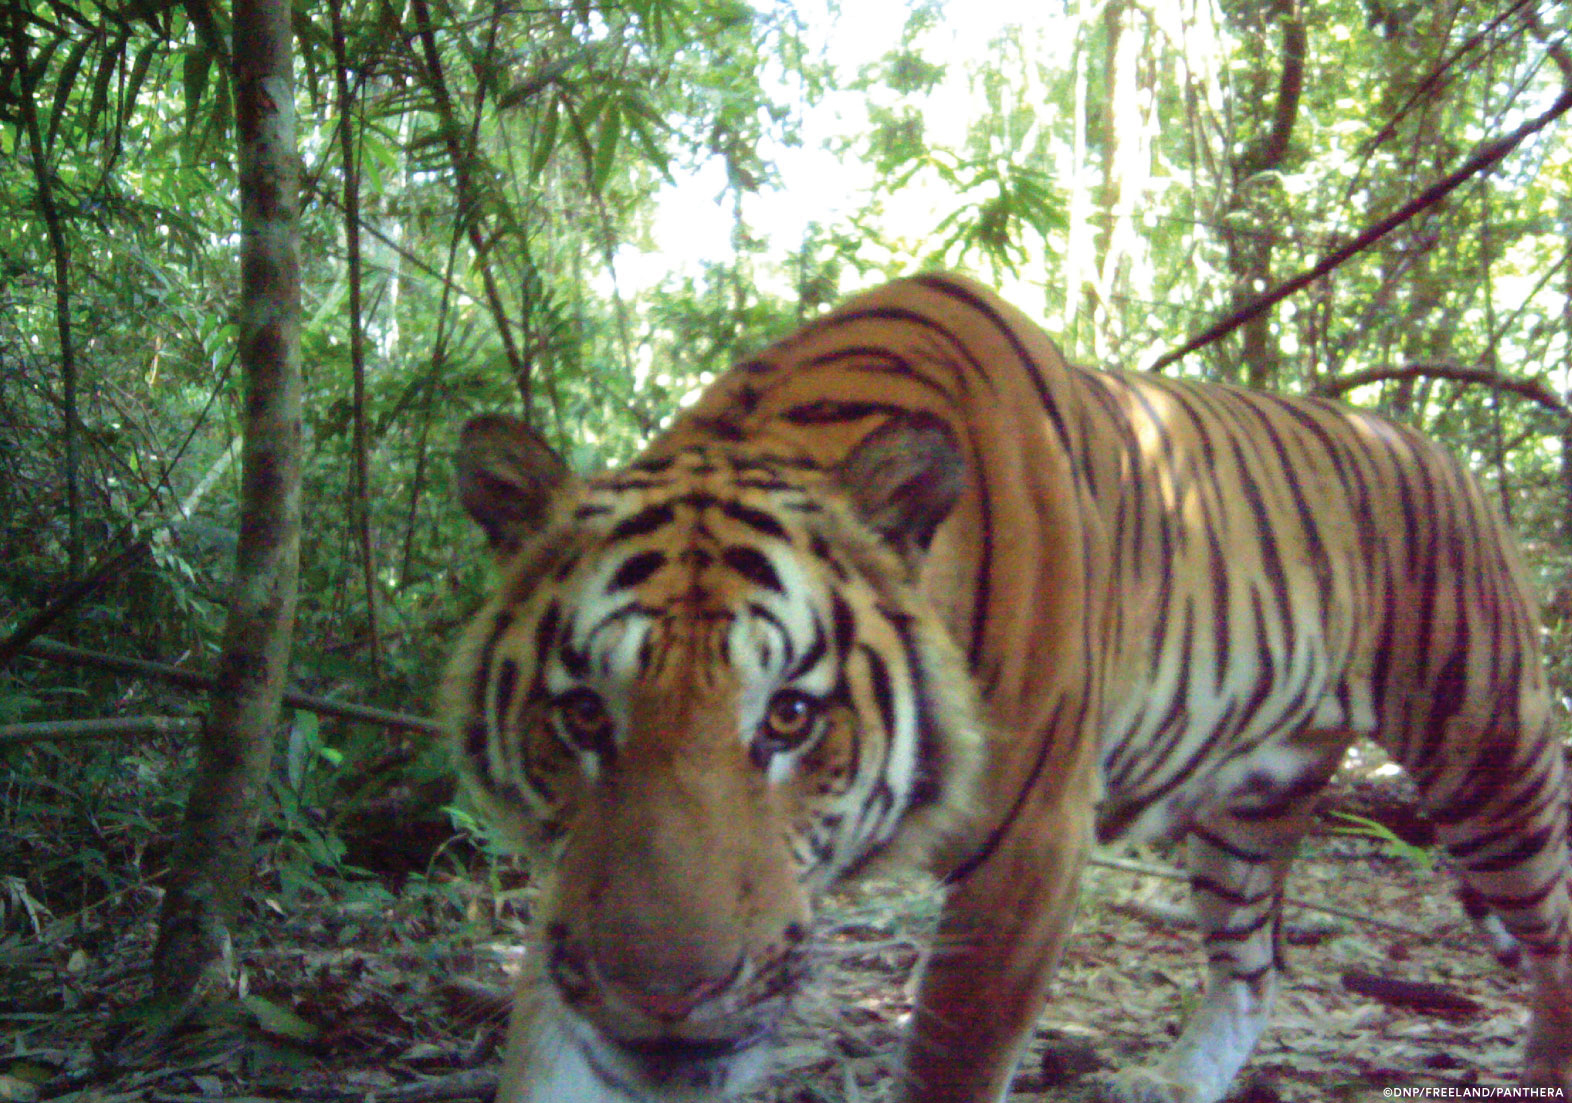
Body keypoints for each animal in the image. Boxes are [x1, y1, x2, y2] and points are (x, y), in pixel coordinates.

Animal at [442, 273, 1572, 1103]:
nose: (662, 996)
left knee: (1553, 922)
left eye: (791, 717)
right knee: (1253, 967)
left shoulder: (1029, 851)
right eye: (583, 714)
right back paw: (1175, 1078)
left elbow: (950, 1057)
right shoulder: (575, 889)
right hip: (1248, 810)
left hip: (1489, 762)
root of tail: (1434, 446)